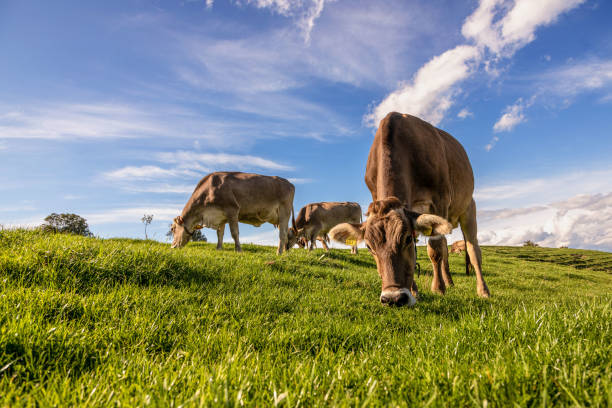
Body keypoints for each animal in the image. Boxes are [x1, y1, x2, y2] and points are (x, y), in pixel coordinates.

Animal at [328, 111, 490, 306]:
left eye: (406, 239)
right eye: (368, 246)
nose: (393, 298)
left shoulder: (439, 201)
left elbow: (435, 249)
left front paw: (438, 289)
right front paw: (415, 291)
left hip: (468, 208)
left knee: (473, 250)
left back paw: (483, 290)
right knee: (447, 247)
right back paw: (449, 281)